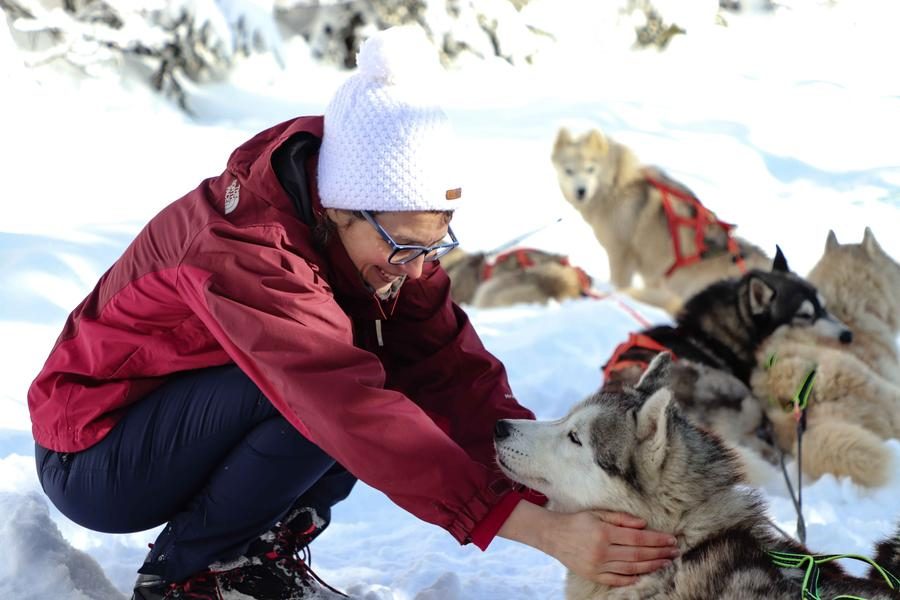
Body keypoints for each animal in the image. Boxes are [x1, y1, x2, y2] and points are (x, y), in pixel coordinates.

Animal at [552, 126, 768, 314]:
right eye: (569, 171)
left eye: (590, 169)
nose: (580, 191)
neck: (617, 187)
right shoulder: (653, 272)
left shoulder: (621, 255)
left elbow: (619, 284)